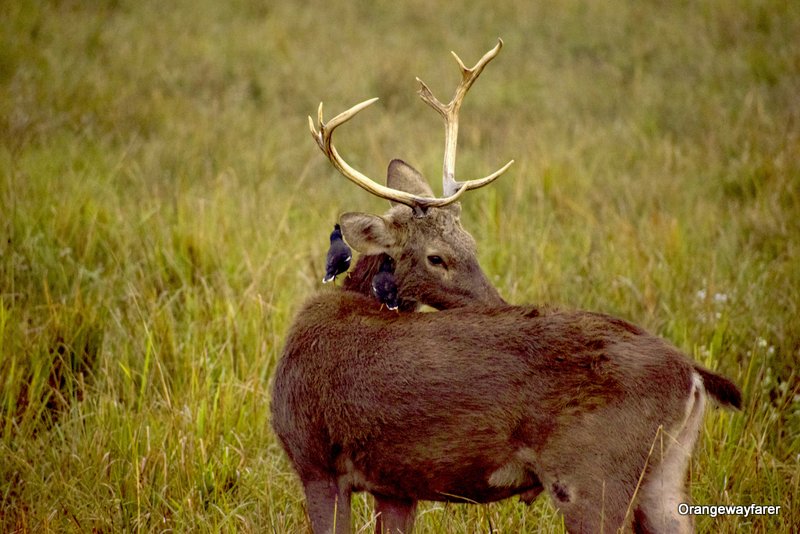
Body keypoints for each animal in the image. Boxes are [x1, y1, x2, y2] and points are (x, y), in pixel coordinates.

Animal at [272, 39, 740, 532]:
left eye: (471, 242)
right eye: (437, 257)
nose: (497, 302)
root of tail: (692, 373)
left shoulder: (315, 460)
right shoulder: (396, 485)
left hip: (593, 478)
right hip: (664, 478)